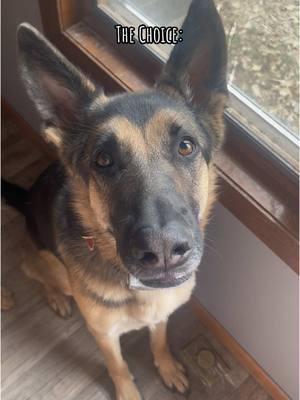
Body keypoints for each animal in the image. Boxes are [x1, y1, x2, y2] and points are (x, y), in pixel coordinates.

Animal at [1, 1, 227, 398]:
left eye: (186, 147)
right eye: (103, 161)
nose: (163, 251)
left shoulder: (161, 314)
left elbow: (159, 339)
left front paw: (166, 366)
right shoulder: (104, 333)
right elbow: (118, 366)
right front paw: (127, 391)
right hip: (50, 266)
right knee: (31, 267)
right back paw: (55, 296)